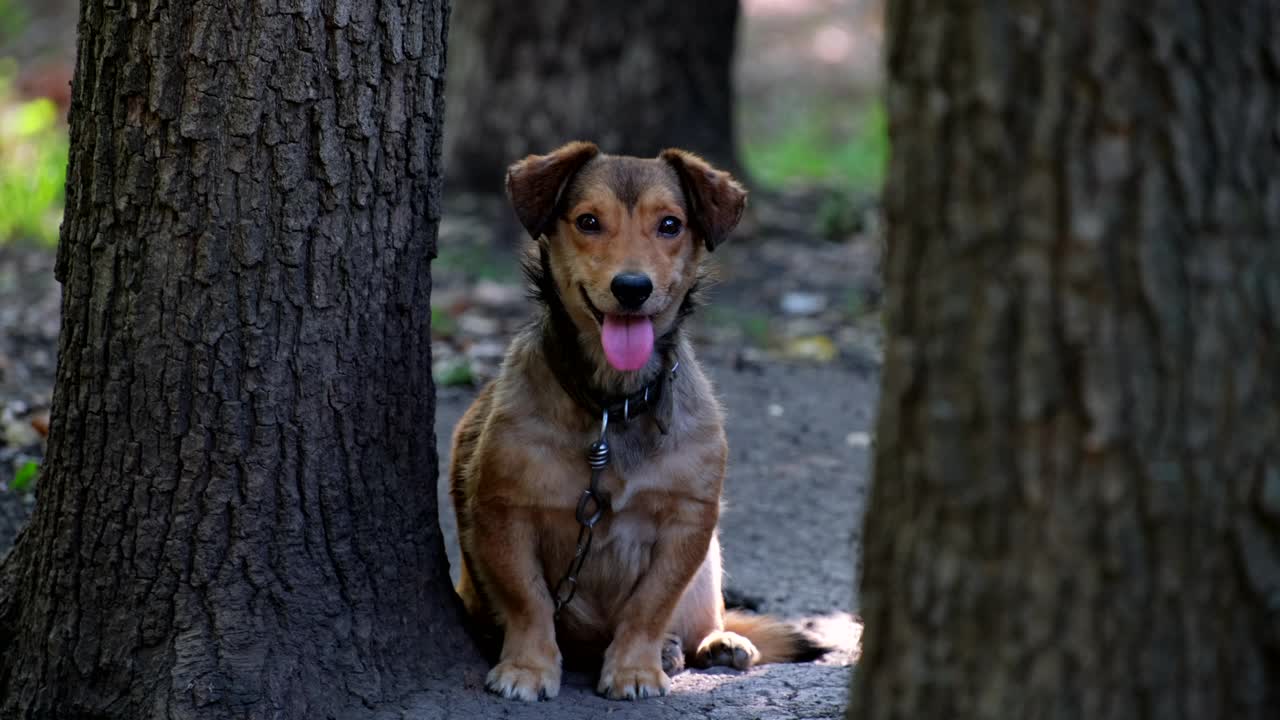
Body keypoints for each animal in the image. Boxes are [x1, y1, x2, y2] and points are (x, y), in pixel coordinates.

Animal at [450, 141, 829, 702]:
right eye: (588, 221)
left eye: (670, 225)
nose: (631, 287)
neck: (615, 403)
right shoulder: (503, 513)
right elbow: (529, 600)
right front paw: (528, 666)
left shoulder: (689, 521)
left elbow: (650, 606)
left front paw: (634, 667)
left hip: (709, 567)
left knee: (701, 618)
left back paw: (711, 642)